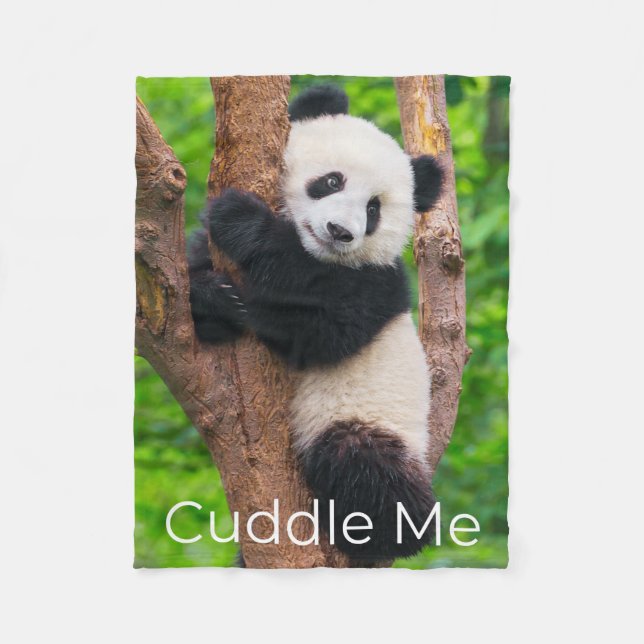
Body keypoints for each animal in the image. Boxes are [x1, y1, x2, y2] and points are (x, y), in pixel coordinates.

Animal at [188, 84, 444, 563]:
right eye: (331, 181)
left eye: (374, 209)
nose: (340, 231)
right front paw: (212, 297)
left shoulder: (378, 285)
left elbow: (324, 331)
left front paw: (240, 220)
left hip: (368, 419)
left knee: (365, 467)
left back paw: (387, 531)